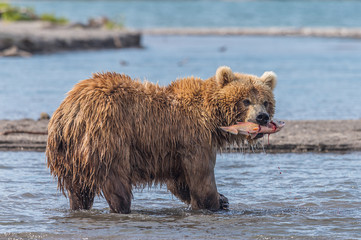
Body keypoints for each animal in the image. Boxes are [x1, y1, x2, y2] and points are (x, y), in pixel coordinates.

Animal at [45, 66, 276, 214]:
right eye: (246, 100)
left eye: (265, 101)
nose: (262, 117)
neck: (212, 117)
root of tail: (68, 114)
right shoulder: (194, 138)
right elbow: (201, 179)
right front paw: (214, 203)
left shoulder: (175, 151)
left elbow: (180, 182)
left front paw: (223, 200)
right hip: (106, 140)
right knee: (117, 185)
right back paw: (122, 209)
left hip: (69, 157)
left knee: (79, 191)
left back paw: (78, 208)